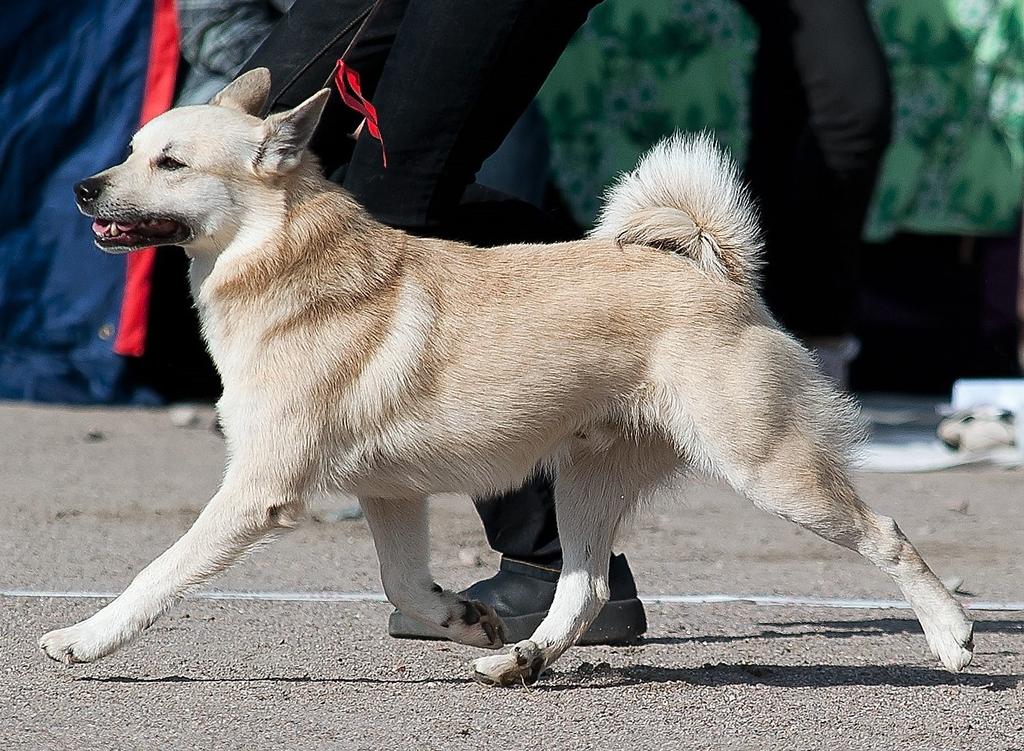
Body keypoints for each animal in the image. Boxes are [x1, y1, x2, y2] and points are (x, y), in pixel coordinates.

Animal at [39, 70, 970, 684]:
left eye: (169, 163)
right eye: (131, 150)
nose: (82, 187)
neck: (282, 258)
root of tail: (723, 274)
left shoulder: (257, 490)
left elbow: (158, 574)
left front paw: (87, 637)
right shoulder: (390, 495)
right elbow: (405, 584)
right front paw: (465, 618)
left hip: (768, 467)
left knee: (886, 532)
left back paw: (953, 635)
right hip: (587, 480)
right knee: (586, 586)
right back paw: (521, 656)